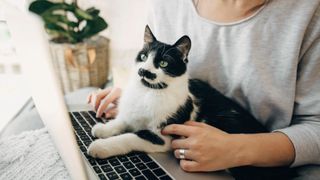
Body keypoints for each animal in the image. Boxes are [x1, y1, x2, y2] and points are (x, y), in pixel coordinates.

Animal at [87, 25, 296, 180]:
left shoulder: (163, 137)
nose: (143, 71)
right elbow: (122, 121)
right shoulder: (132, 111)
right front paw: (103, 129)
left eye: (163, 63)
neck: (148, 92)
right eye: (143, 57)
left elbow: (132, 137)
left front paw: (100, 147)